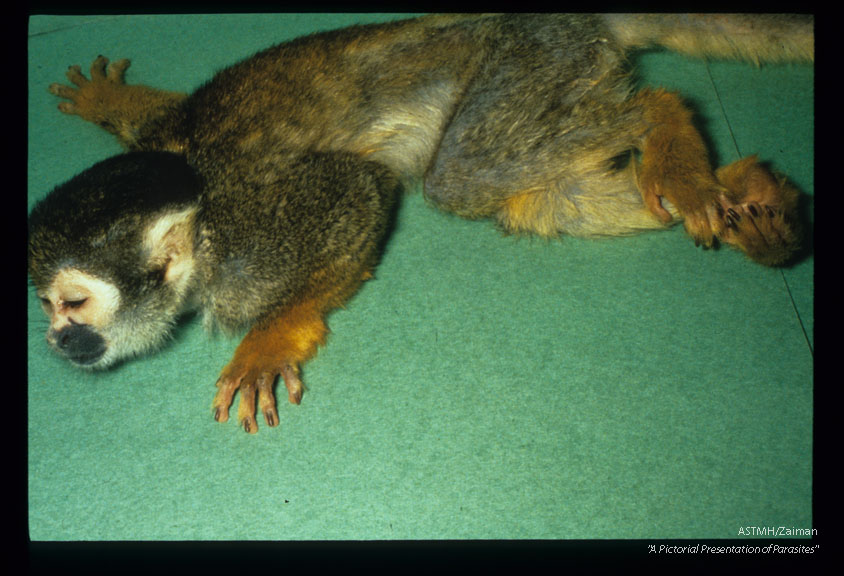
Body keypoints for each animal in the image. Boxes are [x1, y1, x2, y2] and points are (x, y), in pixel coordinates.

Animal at [29, 13, 816, 432]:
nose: (57, 341)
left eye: (74, 303)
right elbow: (159, 115)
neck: (203, 238)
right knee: (525, 197)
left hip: (533, 60)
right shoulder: (163, 143)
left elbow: (360, 190)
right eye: (45, 308)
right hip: (557, 66)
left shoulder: (254, 231)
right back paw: (747, 197)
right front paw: (106, 97)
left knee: (465, 173)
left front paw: (269, 341)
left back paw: (664, 120)